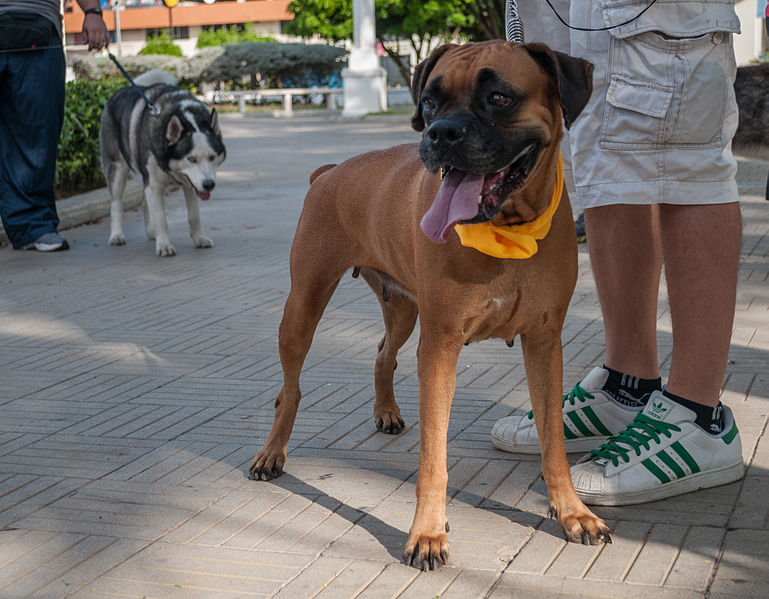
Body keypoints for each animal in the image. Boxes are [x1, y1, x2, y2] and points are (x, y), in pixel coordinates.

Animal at [100, 71, 225, 255]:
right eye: (191, 159)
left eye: (212, 157)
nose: (209, 185)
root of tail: (121, 90)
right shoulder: (154, 184)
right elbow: (160, 217)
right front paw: (164, 245)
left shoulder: (189, 185)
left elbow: (193, 215)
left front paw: (198, 239)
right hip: (117, 169)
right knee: (116, 203)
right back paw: (116, 235)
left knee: (144, 204)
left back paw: (151, 231)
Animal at [252, 42, 612, 572]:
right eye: (429, 102)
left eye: (499, 97)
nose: (441, 131)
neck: (506, 229)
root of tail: (329, 172)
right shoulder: (440, 348)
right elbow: (433, 459)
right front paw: (427, 533)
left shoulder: (544, 343)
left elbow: (554, 442)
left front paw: (573, 513)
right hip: (303, 307)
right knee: (290, 391)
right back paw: (272, 453)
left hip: (403, 310)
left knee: (383, 353)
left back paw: (385, 412)